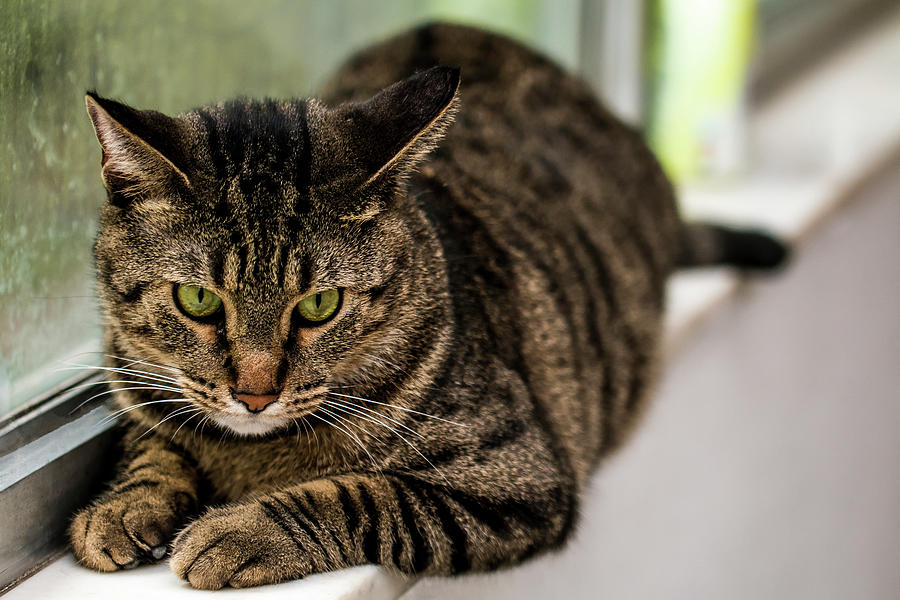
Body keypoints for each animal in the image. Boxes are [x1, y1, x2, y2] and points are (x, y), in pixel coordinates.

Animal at [70, 24, 784, 592]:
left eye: (320, 305)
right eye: (197, 300)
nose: (254, 395)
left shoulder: (518, 479)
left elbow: (361, 497)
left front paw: (240, 532)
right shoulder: (133, 378)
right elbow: (151, 443)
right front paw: (123, 507)